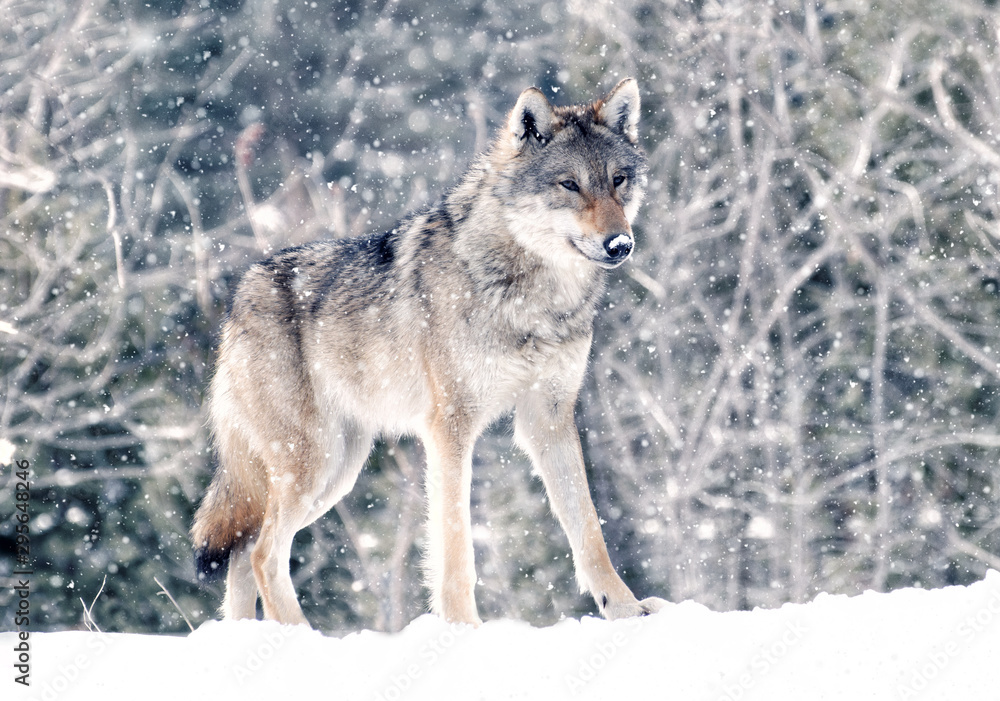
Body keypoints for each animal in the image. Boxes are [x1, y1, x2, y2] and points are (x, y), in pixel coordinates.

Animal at [191, 78, 667, 626]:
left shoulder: (548, 419)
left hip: (337, 472)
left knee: (244, 554)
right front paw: (463, 627)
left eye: (618, 180)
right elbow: (456, 545)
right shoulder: (450, 427)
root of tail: (236, 300)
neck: (532, 296)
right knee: (265, 553)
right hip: (311, 465)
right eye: (569, 184)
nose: (619, 244)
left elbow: (589, 532)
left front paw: (626, 610)